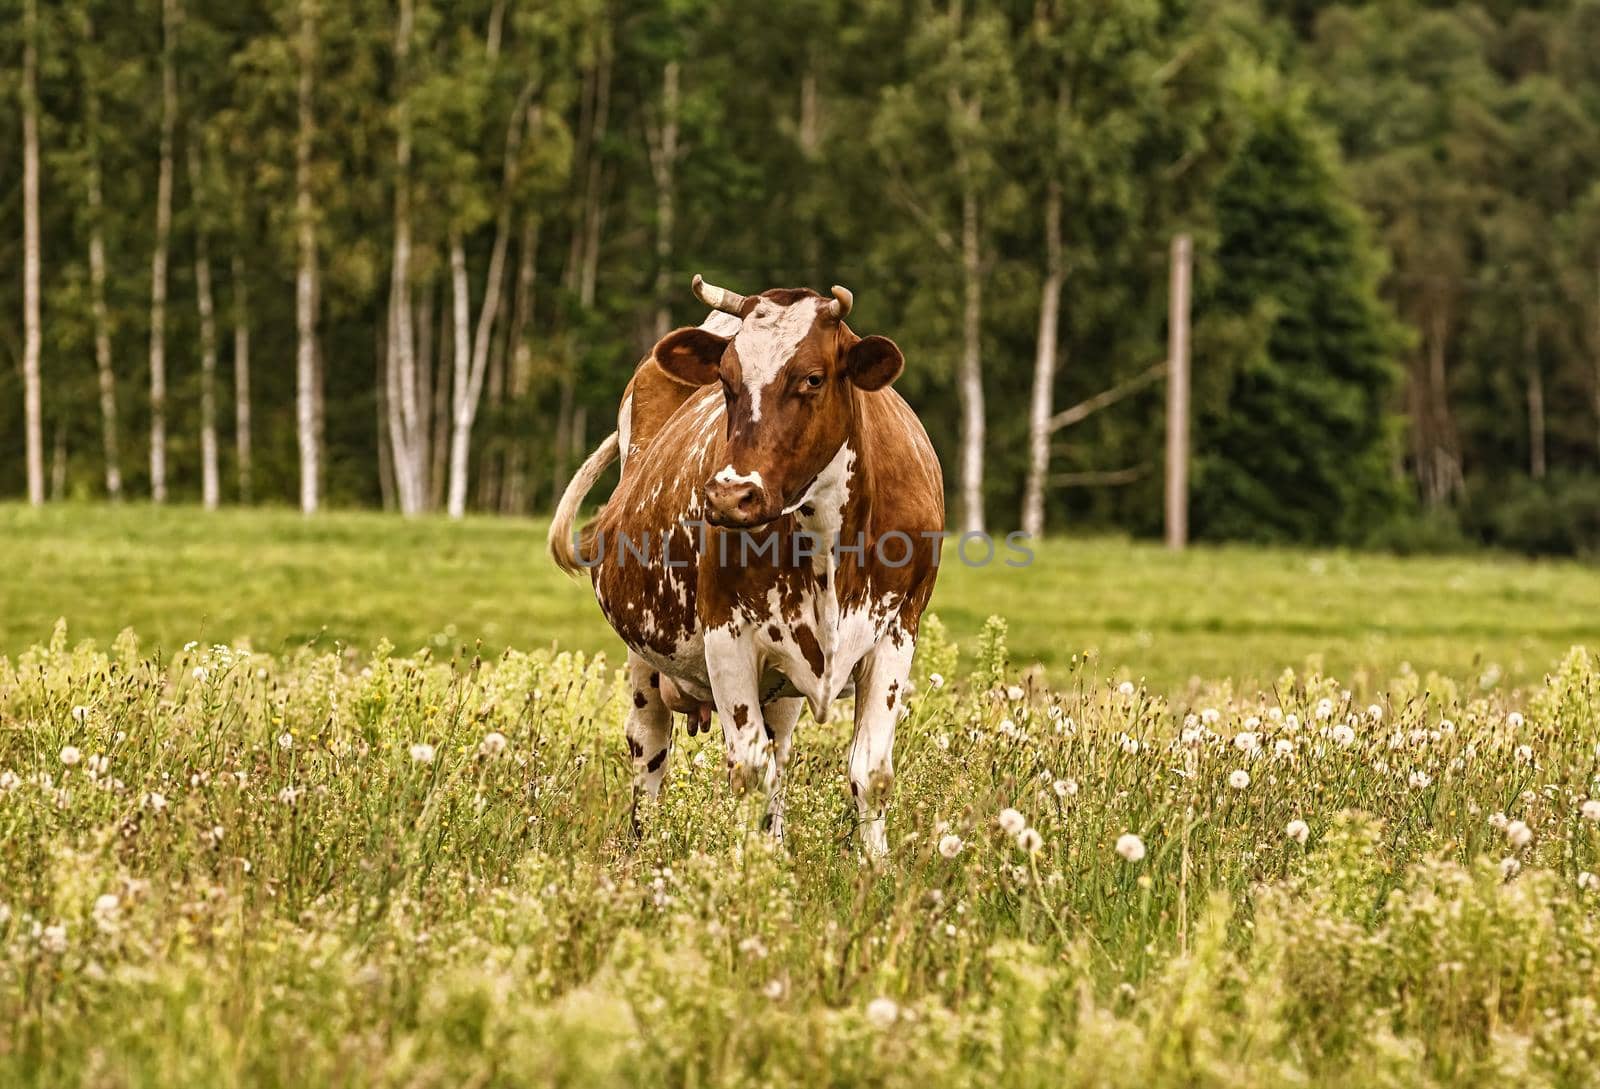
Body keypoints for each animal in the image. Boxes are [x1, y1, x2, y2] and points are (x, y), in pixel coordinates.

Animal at [553, 271, 940, 850]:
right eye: (726, 380)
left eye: (812, 378)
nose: (730, 496)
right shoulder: (726, 634)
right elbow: (749, 770)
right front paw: (747, 867)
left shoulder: (897, 630)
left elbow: (869, 771)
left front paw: (873, 865)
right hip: (644, 652)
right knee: (650, 746)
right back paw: (643, 848)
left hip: (780, 683)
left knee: (778, 751)